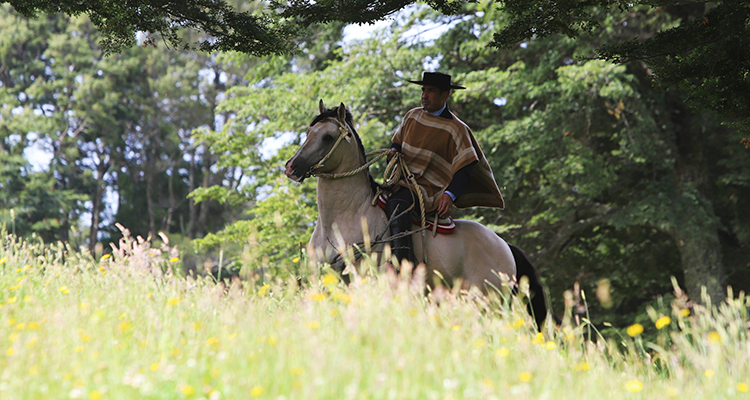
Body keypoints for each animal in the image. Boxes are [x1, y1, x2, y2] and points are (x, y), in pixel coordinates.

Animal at [284, 101, 548, 328]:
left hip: (487, 302)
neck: (344, 217)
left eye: (328, 137)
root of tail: (504, 246)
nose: (291, 167)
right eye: (309, 131)